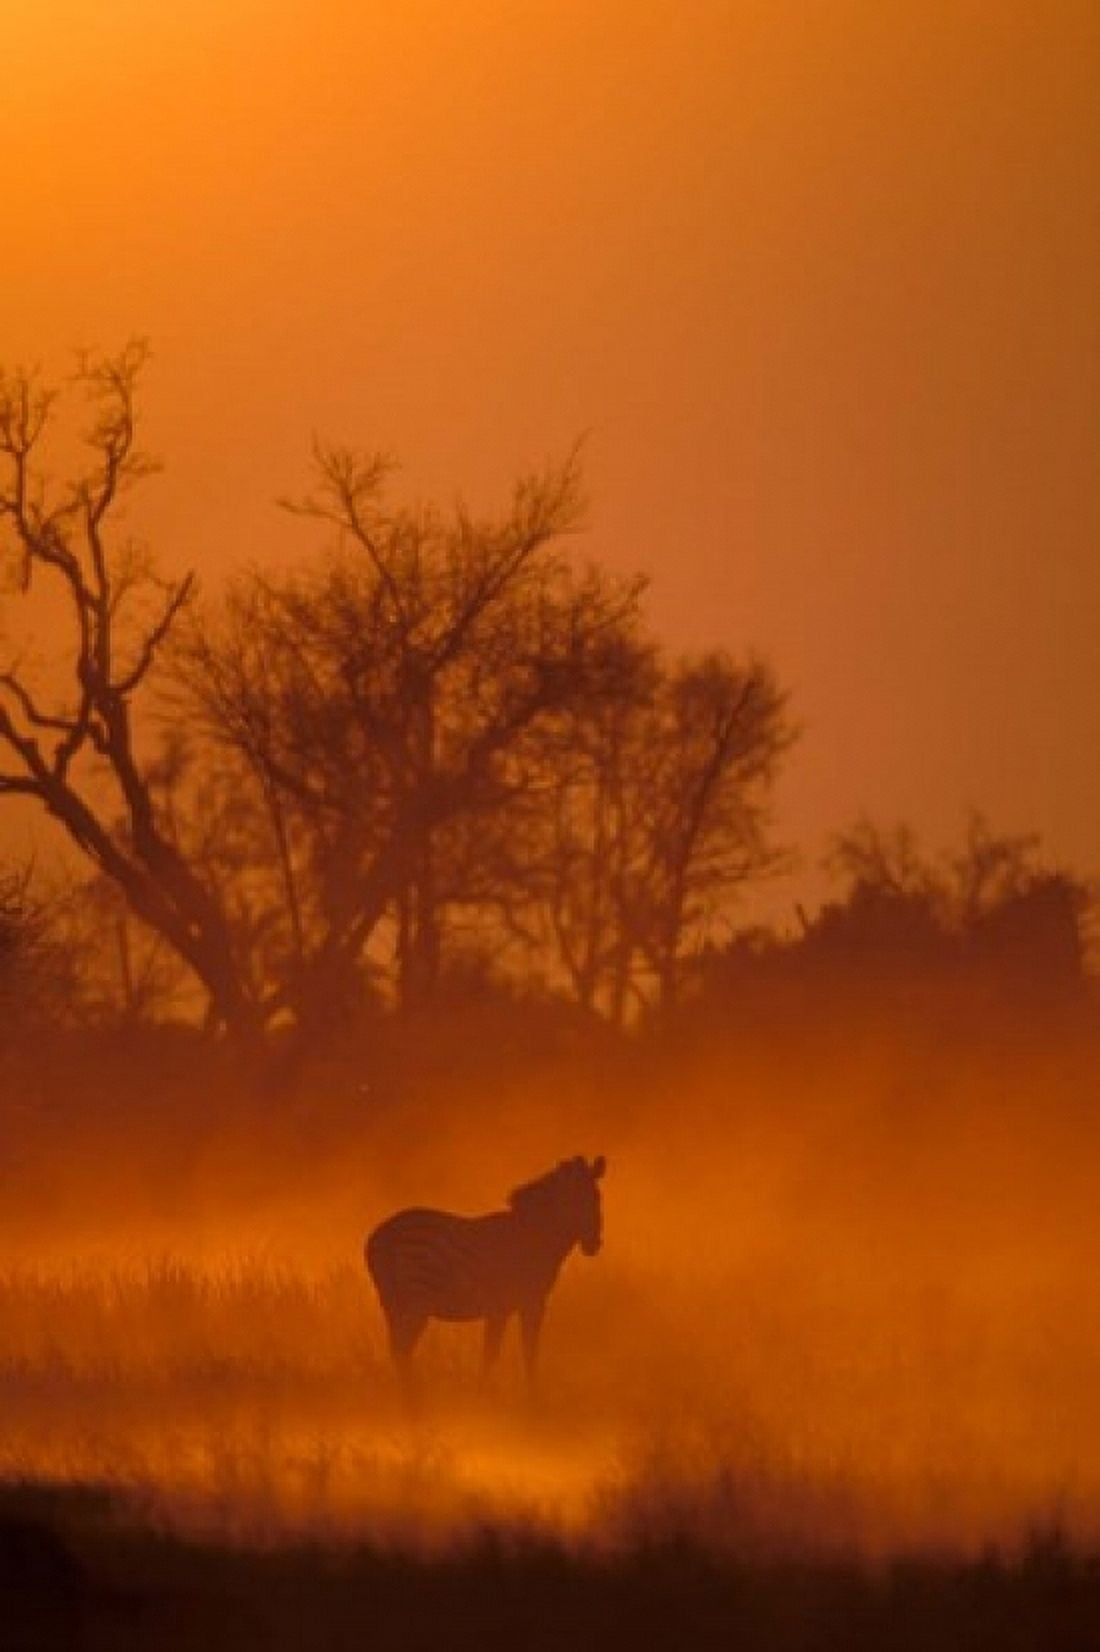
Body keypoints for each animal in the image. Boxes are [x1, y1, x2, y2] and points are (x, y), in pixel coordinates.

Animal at [365, 1155, 606, 1388]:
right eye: (584, 1200)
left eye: (596, 1198)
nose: (594, 1245)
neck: (535, 1235)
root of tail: (383, 1234)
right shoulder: (527, 1303)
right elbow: (520, 1354)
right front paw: (521, 1395)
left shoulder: (503, 1308)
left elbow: (497, 1355)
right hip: (418, 1297)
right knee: (402, 1351)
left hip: (392, 1302)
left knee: (397, 1351)